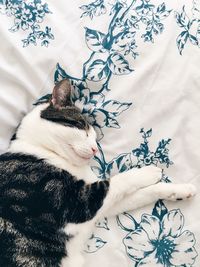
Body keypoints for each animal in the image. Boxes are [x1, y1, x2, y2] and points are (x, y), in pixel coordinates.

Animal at [0, 79, 197, 267]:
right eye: (81, 126)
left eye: (95, 139)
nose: (95, 150)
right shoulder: (78, 202)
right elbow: (117, 181)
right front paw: (146, 172)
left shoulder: (101, 206)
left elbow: (140, 194)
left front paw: (180, 190)